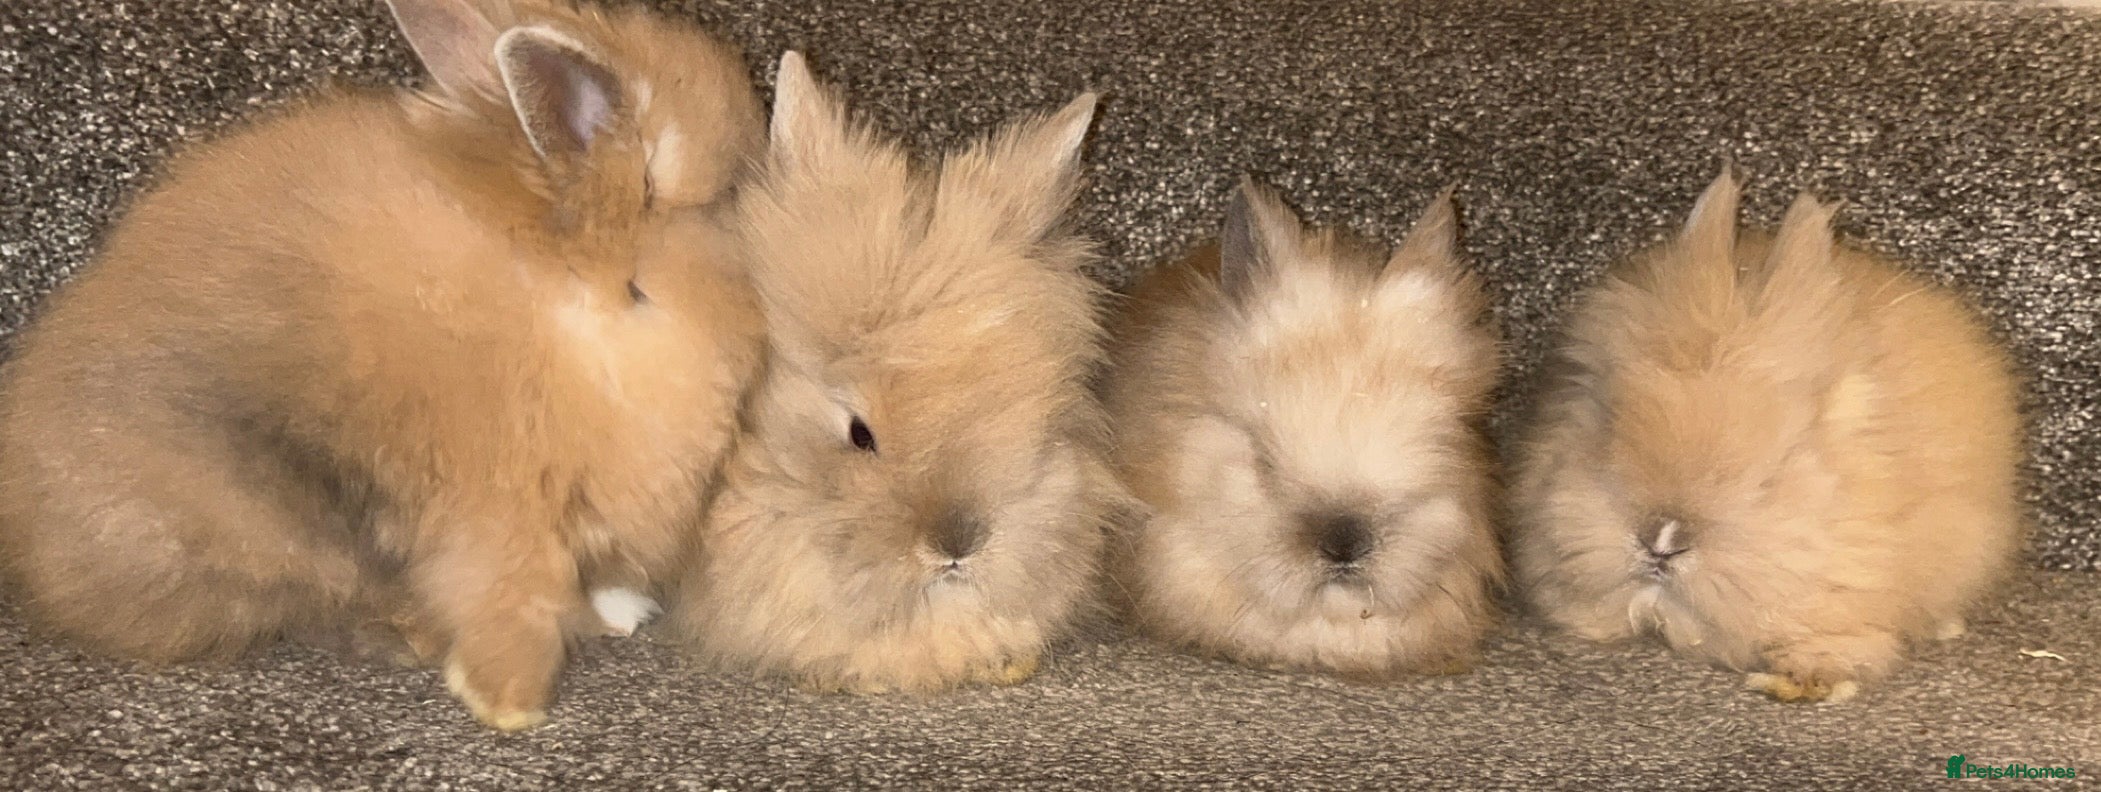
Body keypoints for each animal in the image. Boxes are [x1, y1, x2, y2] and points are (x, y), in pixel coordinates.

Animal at [0, 0, 765, 731]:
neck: (573, 309)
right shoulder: (499, 497)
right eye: (723, 195)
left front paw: (616, 610)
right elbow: (510, 593)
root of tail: (34, 541)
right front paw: (510, 702)